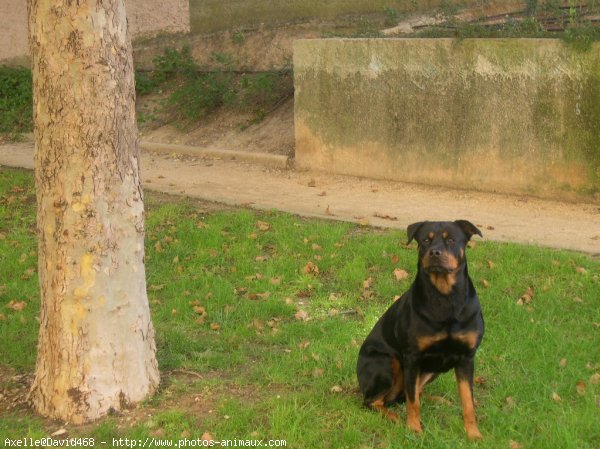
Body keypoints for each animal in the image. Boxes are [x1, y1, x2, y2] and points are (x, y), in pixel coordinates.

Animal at [358, 220, 486, 438]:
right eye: (425, 240)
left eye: (451, 240)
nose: (434, 252)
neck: (445, 298)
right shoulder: (412, 356)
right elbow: (413, 402)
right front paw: (414, 429)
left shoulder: (466, 358)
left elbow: (468, 401)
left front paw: (473, 434)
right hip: (387, 363)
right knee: (374, 401)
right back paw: (393, 416)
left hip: (432, 370)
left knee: (411, 392)